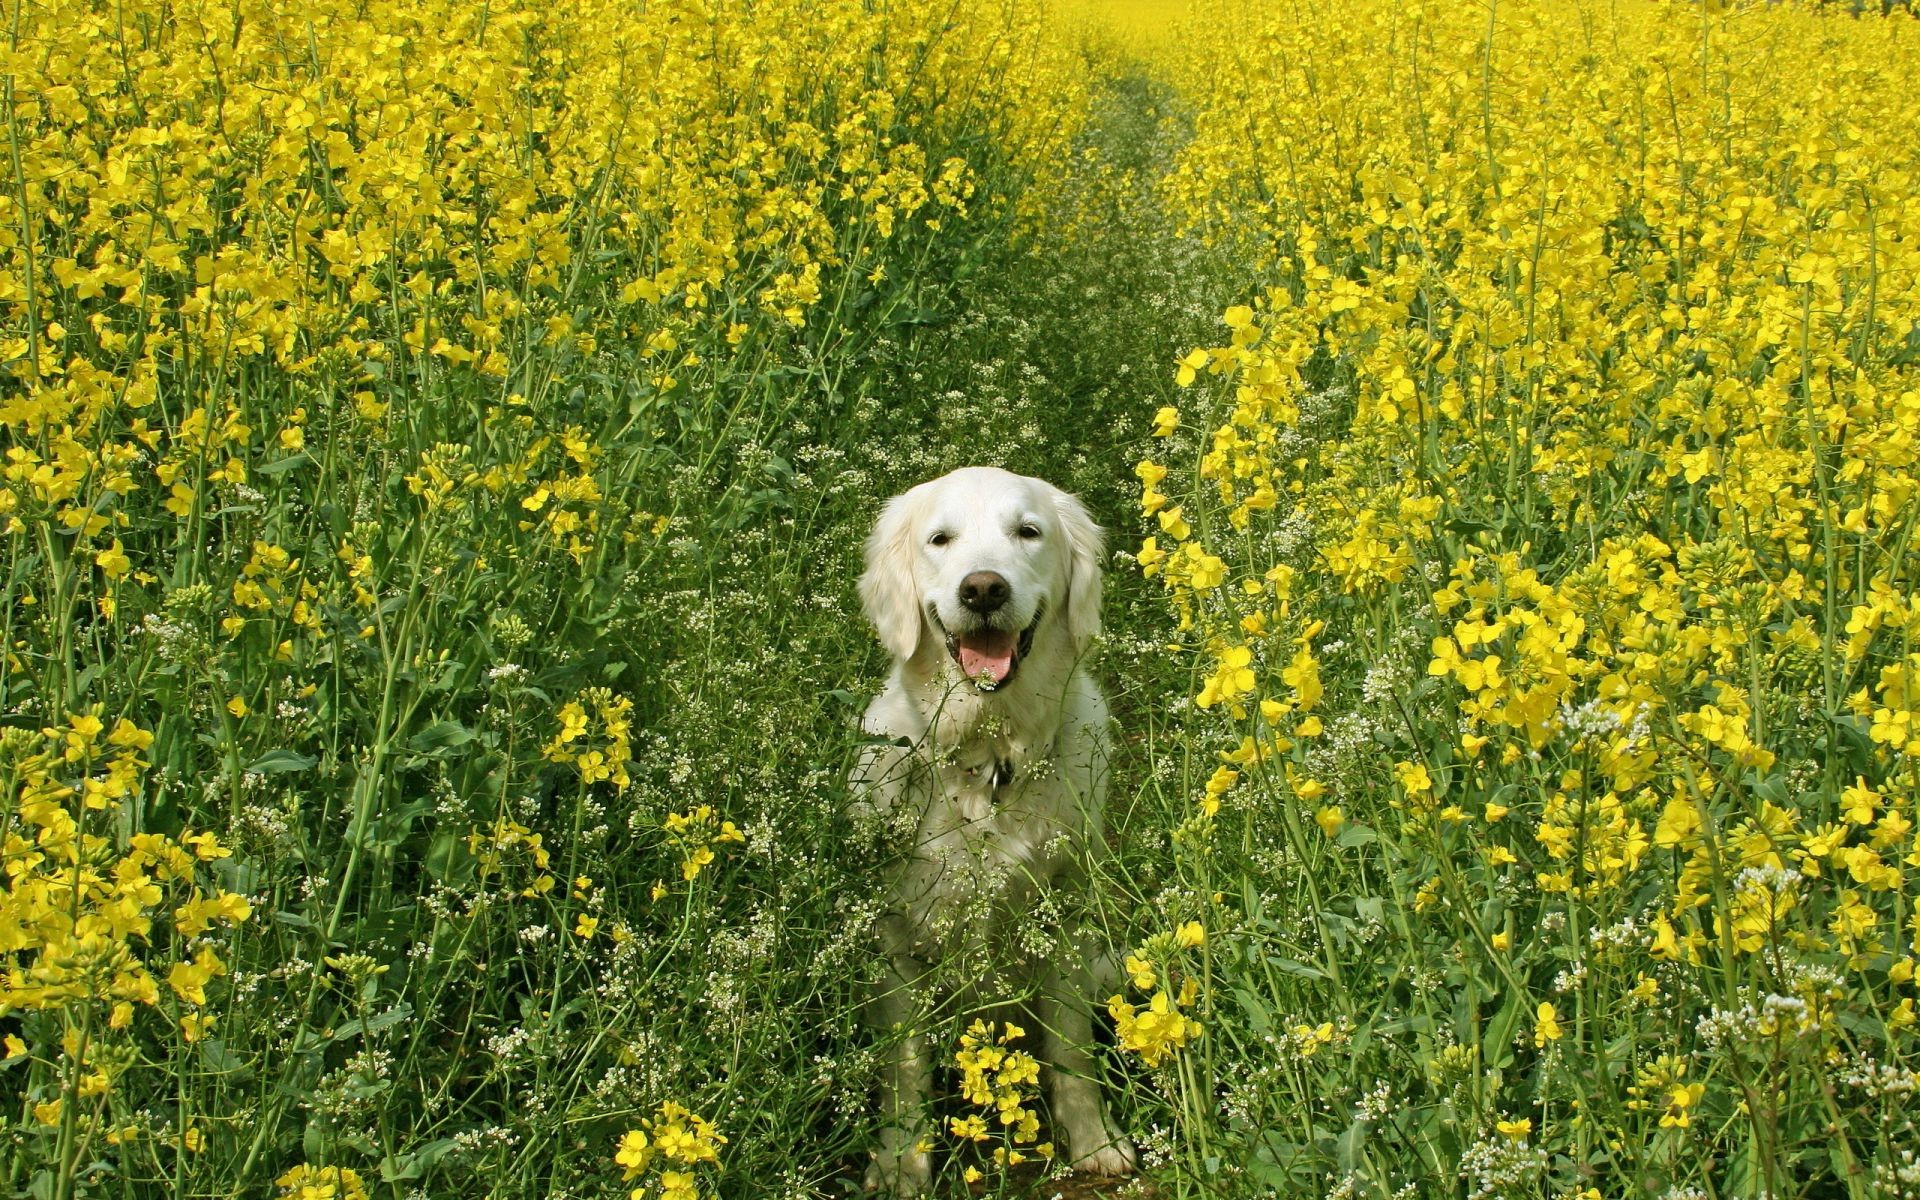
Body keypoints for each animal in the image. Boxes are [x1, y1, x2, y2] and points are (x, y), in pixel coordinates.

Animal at [848, 466, 1128, 1190]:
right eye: (940, 539)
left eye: (1027, 531)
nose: (982, 589)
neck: (989, 764)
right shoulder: (898, 943)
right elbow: (905, 1070)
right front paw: (902, 1163)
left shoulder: (1063, 920)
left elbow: (1072, 1053)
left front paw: (1093, 1143)